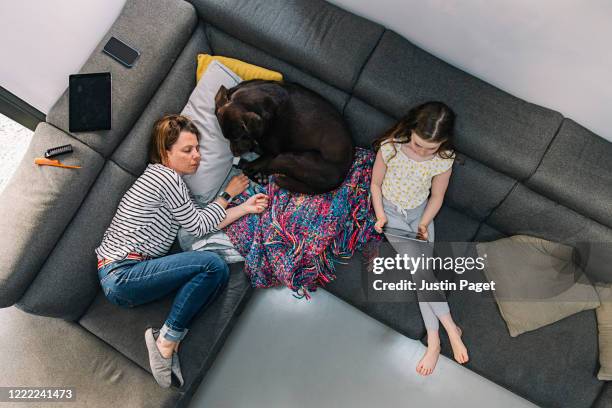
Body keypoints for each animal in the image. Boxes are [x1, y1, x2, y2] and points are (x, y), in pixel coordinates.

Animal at [215, 80, 354, 195]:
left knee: (266, 168)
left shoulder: (272, 152)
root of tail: (342, 176)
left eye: (238, 137)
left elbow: (250, 166)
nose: (234, 153)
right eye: (227, 138)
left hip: (287, 158)